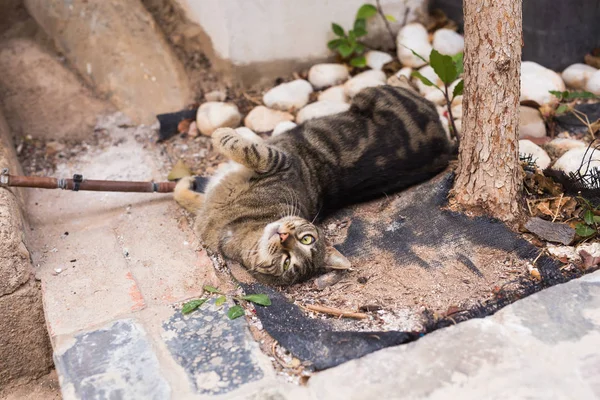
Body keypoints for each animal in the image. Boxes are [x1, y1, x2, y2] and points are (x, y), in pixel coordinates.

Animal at [173, 84, 454, 284]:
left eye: (287, 262)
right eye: (307, 238)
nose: (283, 236)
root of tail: (446, 145)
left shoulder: (280, 162)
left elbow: (250, 149)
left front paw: (221, 135)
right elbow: (189, 196)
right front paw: (185, 185)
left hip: (370, 92)